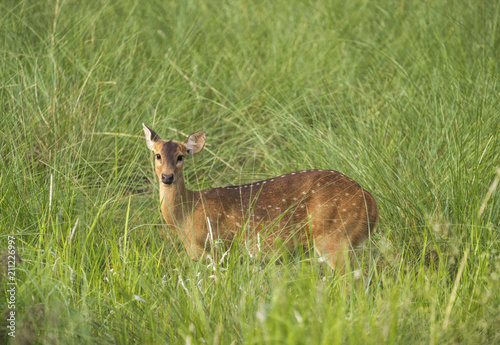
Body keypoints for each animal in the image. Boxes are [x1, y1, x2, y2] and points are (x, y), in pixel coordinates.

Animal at [143, 123, 376, 272]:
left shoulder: (218, 249)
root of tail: (369, 201)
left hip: (334, 236)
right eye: (158, 155)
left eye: (180, 157)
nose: (167, 177)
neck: (187, 215)